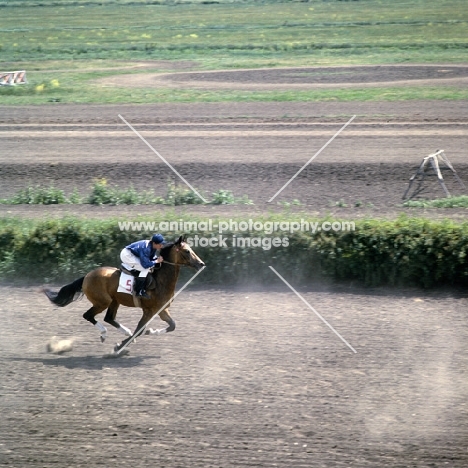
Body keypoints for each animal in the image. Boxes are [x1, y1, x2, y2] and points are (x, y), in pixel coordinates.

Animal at [44, 236, 205, 352]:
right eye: (187, 251)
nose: (201, 264)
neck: (161, 281)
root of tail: (87, 276)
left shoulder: (161, 309)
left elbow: (172, 325)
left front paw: (150, 331)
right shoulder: (149, 310)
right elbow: (139, 330)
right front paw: (119, 347)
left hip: (114, 301)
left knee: (109, 318)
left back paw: (125, 332)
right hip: (103, 302)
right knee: (88, 315)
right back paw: (105, 333)